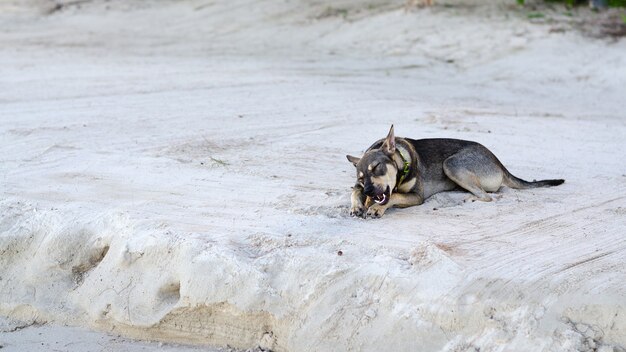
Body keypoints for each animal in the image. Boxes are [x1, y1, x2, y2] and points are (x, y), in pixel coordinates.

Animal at [344, 124, 564, 217]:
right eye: (362, 178)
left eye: (377, 167)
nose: (368, 191)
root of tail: (498, 162)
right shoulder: (358, 186)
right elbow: (353, 191)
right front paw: (357, 206)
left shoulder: (416, 196)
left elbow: (395, 196)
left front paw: (376, 208)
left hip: (452, 165)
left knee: (487, 196)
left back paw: (470, 197)